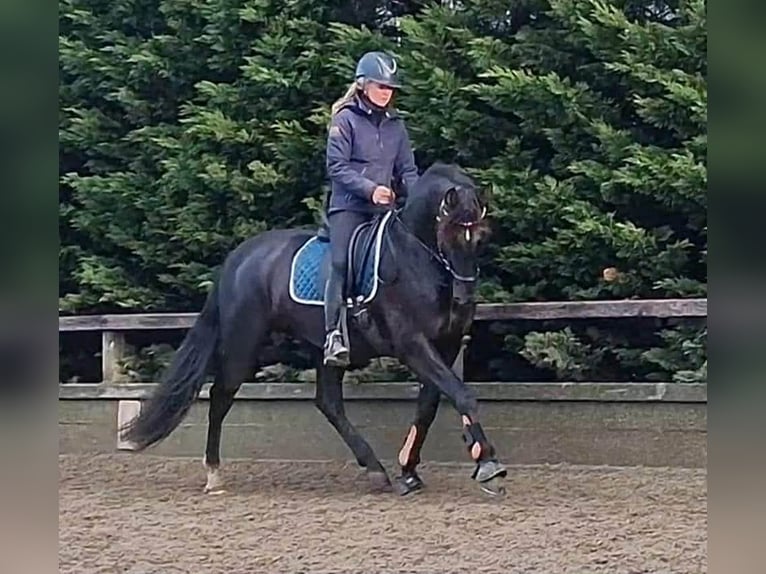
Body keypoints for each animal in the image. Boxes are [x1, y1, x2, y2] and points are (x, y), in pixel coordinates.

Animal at [120, 162, 507, 497]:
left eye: (480, 239)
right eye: (448, 235)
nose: (463, 298)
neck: (415, 257)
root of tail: (239, 257)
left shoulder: (447, 343)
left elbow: (431, 404)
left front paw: (410, 469)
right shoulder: (411, 343)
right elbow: (461, 394)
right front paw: (488, 463)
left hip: (323, 350)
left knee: (328, 403)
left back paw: (375, 470)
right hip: (244, 342)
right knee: (221, 397)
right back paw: (214, 475)